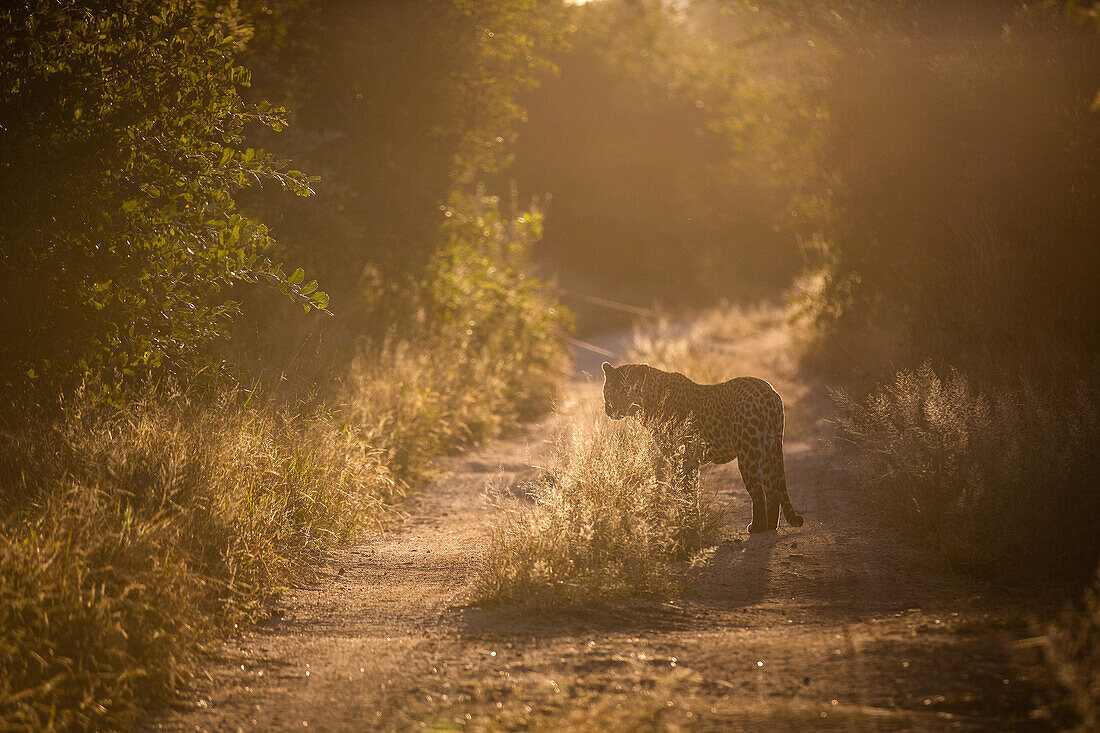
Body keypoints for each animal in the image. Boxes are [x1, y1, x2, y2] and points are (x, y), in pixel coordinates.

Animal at [602, 358, 809, 530]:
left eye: (625, 389)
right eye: (608, 390)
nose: (610, 408)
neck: (650, 400)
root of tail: (770, 392)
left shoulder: (682, 458)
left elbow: (684, 489)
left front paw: (686, 519)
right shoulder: (689, 460)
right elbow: (691, 489)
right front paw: (691, 517)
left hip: (748, 452)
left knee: (758, 490)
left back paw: (757, 527)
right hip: (768, 449)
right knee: (772, 487)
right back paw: (771, 525)